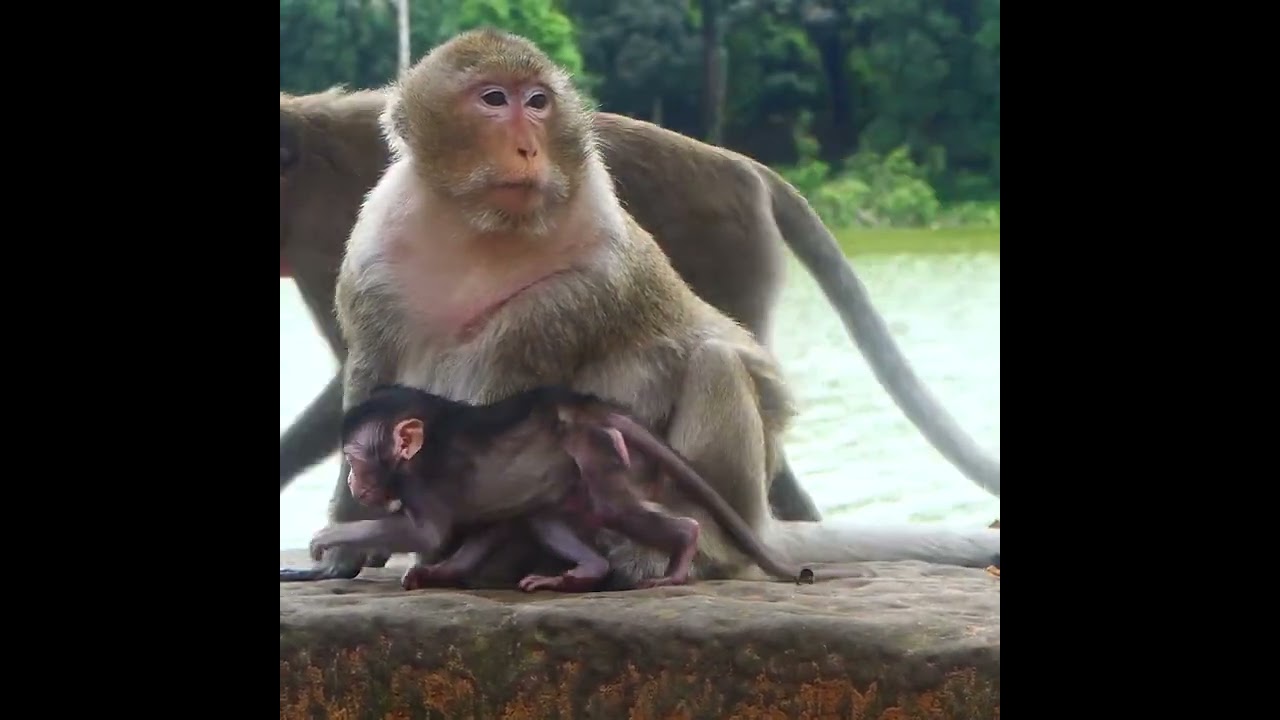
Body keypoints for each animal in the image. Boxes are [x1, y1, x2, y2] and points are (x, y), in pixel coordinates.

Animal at [306, 384, 816, 592]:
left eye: (356, 462)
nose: (351, 480)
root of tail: (589, 407)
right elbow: (494, 521)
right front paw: (443, 573)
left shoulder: (422, 481)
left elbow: (425, 533)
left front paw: (329, 537)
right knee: (543, 514)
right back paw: (585, 571)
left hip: (596, 452)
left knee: (615, 512)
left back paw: (679, 554)